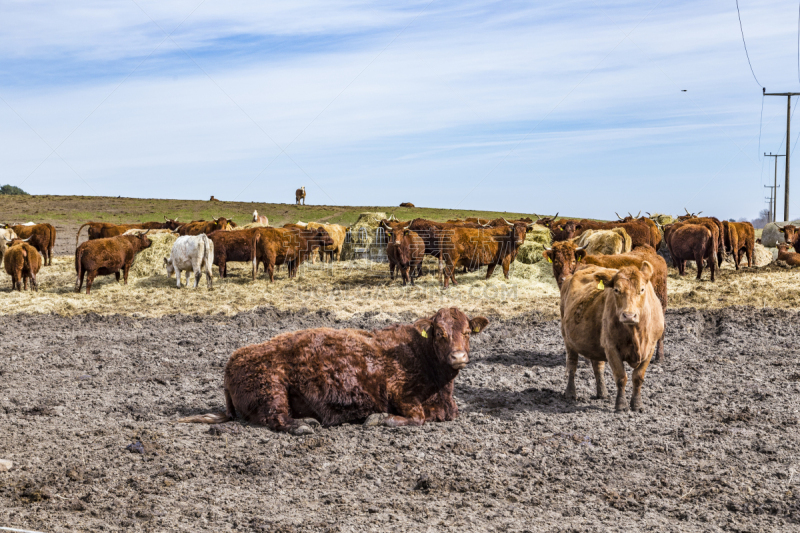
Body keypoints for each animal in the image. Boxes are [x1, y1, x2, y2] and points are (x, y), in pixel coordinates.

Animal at [180, 308, 488, 432]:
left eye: (467, 332)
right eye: (440, 333)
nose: (459, 356)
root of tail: (234, 360)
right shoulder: (400, 392)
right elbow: (417, 418)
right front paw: (379, 419)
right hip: (271, 386)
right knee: (274, 418)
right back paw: (304, 425)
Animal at [556, 262, 664, 412]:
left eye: (642, 289)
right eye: (616, 290)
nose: (629, 315)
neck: (636, 334)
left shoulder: (650, 347)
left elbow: (638, 377)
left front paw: (637, 405)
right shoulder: (611, 347)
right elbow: (621, 377)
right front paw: (621, 405)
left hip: (594, 344)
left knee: (598, 366)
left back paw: (602, 393)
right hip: (568, 339)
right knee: (572, 364)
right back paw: (571, 393)